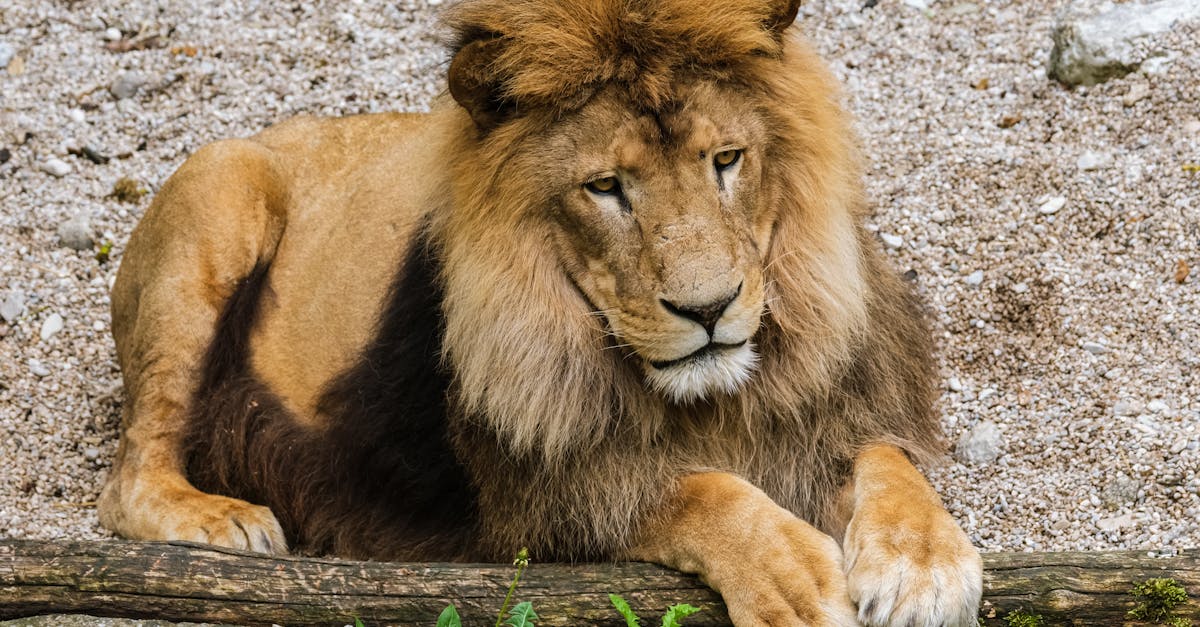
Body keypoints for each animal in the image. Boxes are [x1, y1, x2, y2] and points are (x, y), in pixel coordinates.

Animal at [98, 0, 983, 624]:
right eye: (606, 187)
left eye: (726, 160)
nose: (709, 308)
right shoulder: (530, 501)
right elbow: (692, 491)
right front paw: (793, 578)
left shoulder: (824, 409)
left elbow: (886, 457)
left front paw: (923, 563)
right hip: (221, 191)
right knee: (133, 473)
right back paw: (227, 522)